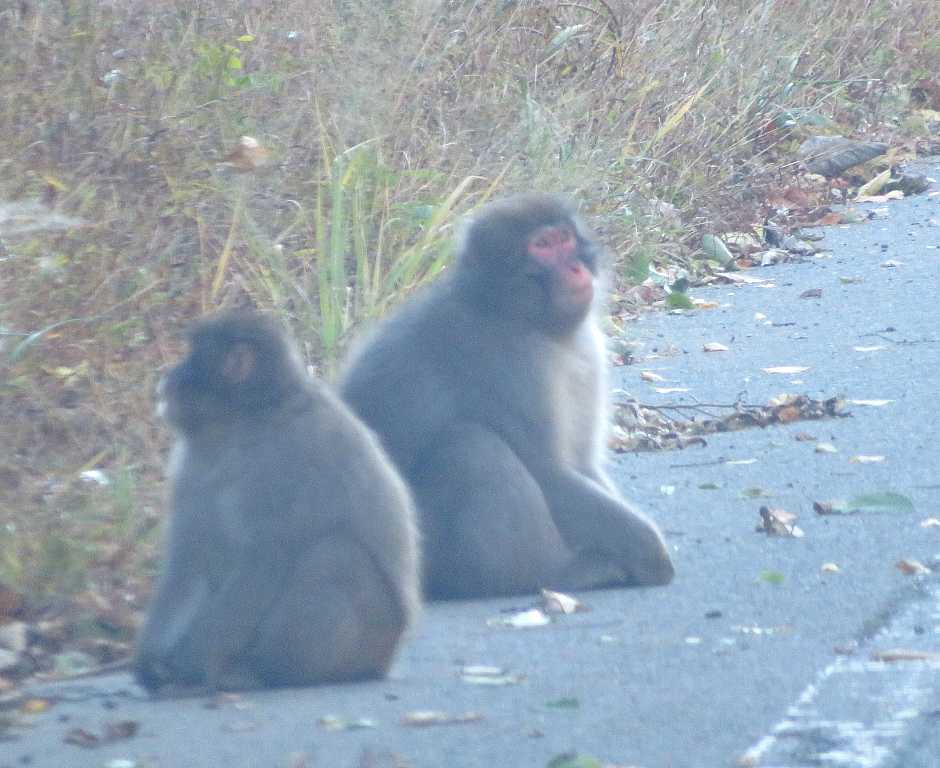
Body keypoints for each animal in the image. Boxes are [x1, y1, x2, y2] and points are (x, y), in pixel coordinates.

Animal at [134, 312, 420, 694]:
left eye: (193, 359)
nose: (170, 374)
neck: (244, 420)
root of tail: (386, 660)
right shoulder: (191, 465)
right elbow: (189, 557)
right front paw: (150, 661)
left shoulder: (285, 459)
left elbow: (266, 558)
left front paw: (188, 666)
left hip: (372, 637)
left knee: (335, 555)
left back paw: (265, 672)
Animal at [340, 193, 674, 600]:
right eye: (542, 246)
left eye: (564, 238)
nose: (576, 267)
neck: (513, 312)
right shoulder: (512, 365)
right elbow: (548, 473)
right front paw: (650, 553)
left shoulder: (587, 351)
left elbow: (581, 464)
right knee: (471, 446)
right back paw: (547, 573)